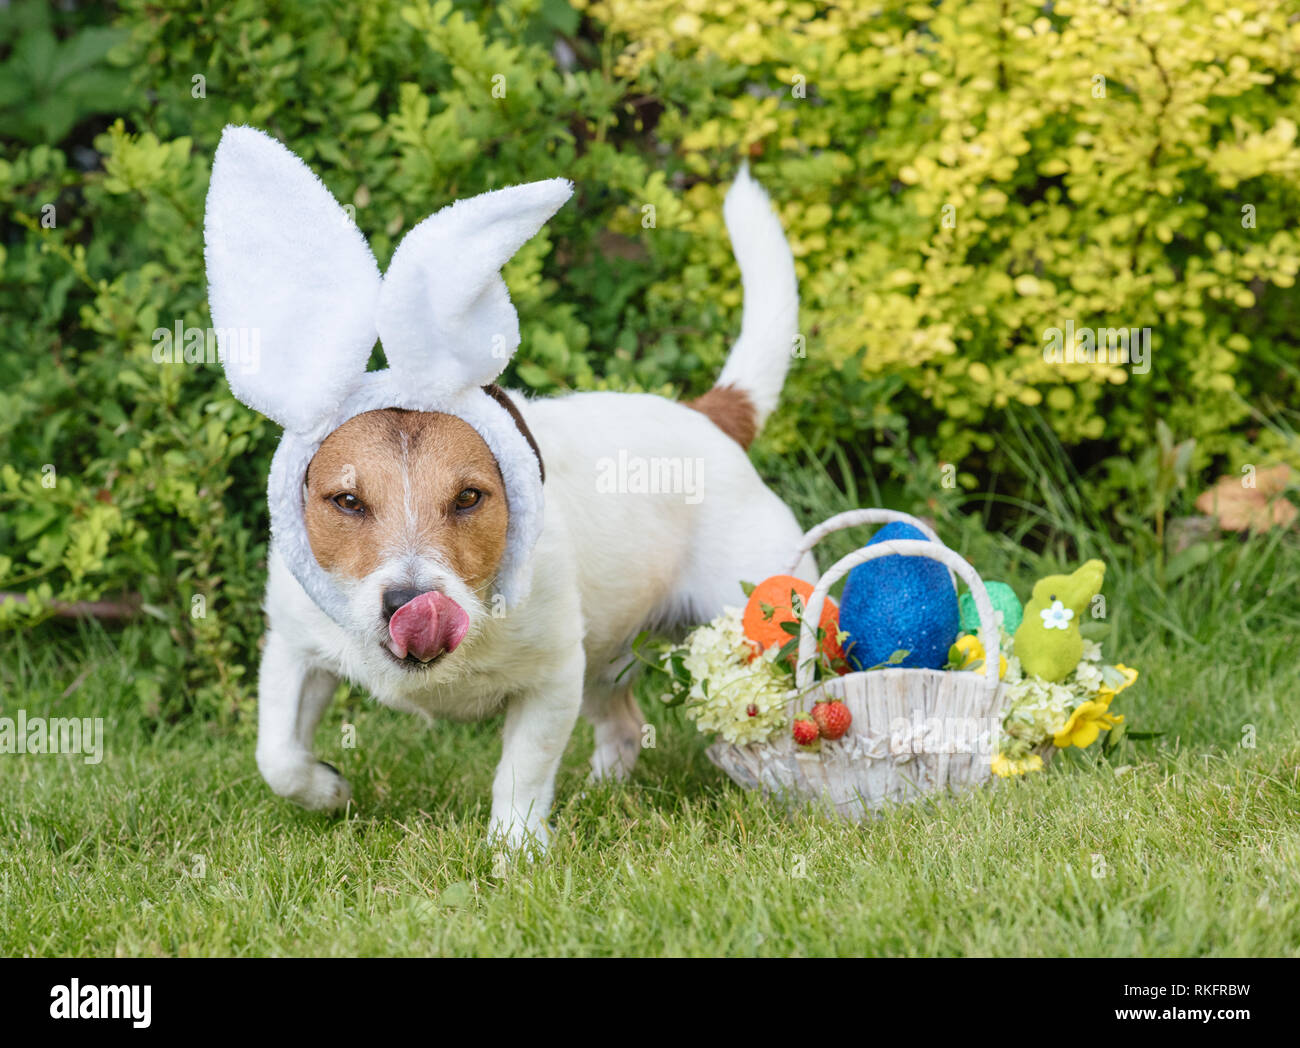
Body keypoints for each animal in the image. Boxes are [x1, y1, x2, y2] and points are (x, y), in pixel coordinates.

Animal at [202, 127, 811, 847]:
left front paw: (515, 849)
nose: (410, 603)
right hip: (605, 655)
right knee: (625, 725)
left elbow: (523, 771)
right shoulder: (293, 653)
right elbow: (277, 756)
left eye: (469, 497)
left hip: (759, 621)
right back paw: (602, 792)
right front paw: (327, 790)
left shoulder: (551, 680)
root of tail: (711, 415)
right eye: (346, 501)